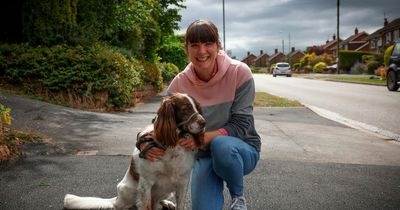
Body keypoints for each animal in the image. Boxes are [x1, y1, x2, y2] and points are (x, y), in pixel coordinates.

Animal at [63, 93, 206, 210]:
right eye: (185, 109)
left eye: (198, 108)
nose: (204, 123)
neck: (172, 146)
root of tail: (116, 199)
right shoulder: (145, 184)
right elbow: (145, 205)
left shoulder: (183, 182)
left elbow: (180, 205)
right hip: (129, 190)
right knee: (125, 206)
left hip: (167, 190)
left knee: (157, 203)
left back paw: (167, 203)